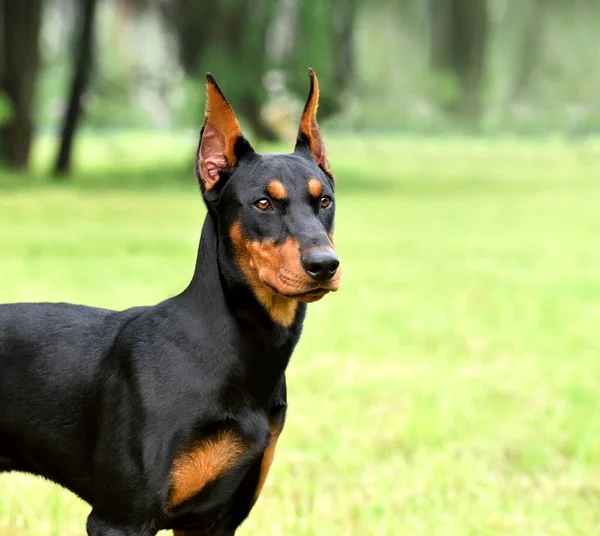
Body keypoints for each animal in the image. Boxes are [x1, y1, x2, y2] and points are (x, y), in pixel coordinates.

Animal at [0, 71, 340, 536]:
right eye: (263, 203)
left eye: (324, 200)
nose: (324, 265)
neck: (233, 349)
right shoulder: (120, 518)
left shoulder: (215, 520)